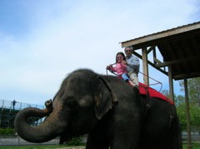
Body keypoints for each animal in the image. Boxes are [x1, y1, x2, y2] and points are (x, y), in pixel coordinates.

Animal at [14, 68, 183, 149]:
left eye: (71, 104)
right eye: (53, 102)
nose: (47, 103)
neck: (102, 80)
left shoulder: (128, 114)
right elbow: (94, 145)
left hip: (174, 122)